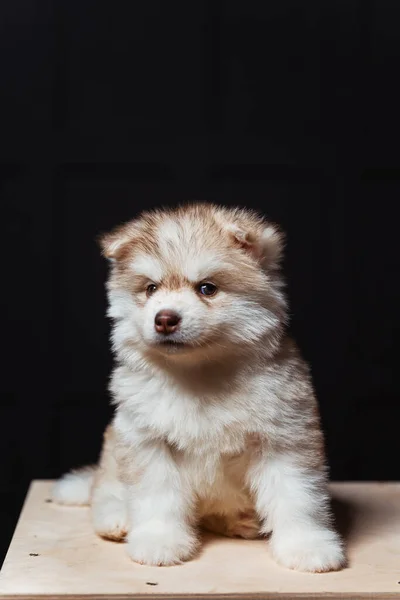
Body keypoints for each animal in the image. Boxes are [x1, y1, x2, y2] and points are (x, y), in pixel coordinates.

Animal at [52, 203, 346, 572]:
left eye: (207, 288)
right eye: (151, 289)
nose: (164, 319)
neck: (199, 373)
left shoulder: (284, 438)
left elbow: (297, 498)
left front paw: (307, 546)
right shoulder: (147, 441)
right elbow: (156, 497)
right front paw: (159, 541)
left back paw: (240, 521)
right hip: (113, 453)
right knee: (104, 492)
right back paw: (118, 519)